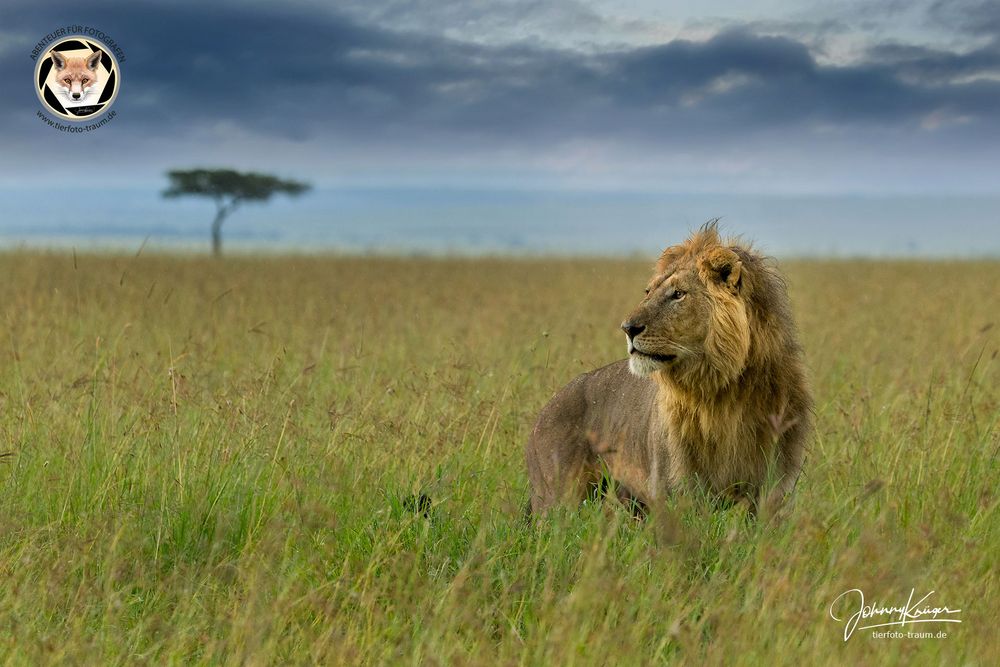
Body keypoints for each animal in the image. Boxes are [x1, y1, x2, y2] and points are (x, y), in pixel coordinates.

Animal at [524, 224, 812, 516]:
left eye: (678, 294)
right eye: (648, 292)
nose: (627, 328)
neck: (724, 392)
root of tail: (544, 411)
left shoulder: (777, 490)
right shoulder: (676, 489)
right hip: (558, 499)